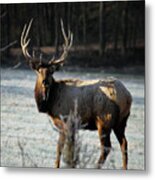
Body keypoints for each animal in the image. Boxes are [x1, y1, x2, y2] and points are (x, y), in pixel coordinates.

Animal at [20, 19, 132, 169]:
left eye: (51, 71)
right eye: (39, 70)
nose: (45, 82)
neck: (50, 103)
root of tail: (128, 96)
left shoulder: (65, 121)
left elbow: (60, 149)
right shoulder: (72, 127)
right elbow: (71, 150)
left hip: (104, 120)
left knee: (106, 147)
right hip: (121, 121)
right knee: (124, 143)